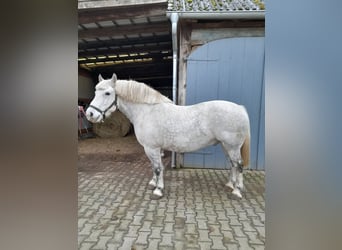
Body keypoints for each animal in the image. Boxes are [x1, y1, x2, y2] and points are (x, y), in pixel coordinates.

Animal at [87, 73, 250, 198]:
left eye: (107, 93)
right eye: (95, 92)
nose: (90, 114)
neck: (146, 112)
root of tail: (240, 108)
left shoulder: (151, 148)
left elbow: (158, 168)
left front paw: (158, 190)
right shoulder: (153, 149)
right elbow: (154, 166)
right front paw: (153, 183)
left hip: (232, 146)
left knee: (239, 165)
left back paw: (237, 191)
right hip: (225, 145)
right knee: (232, 164)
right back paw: (230, 184)